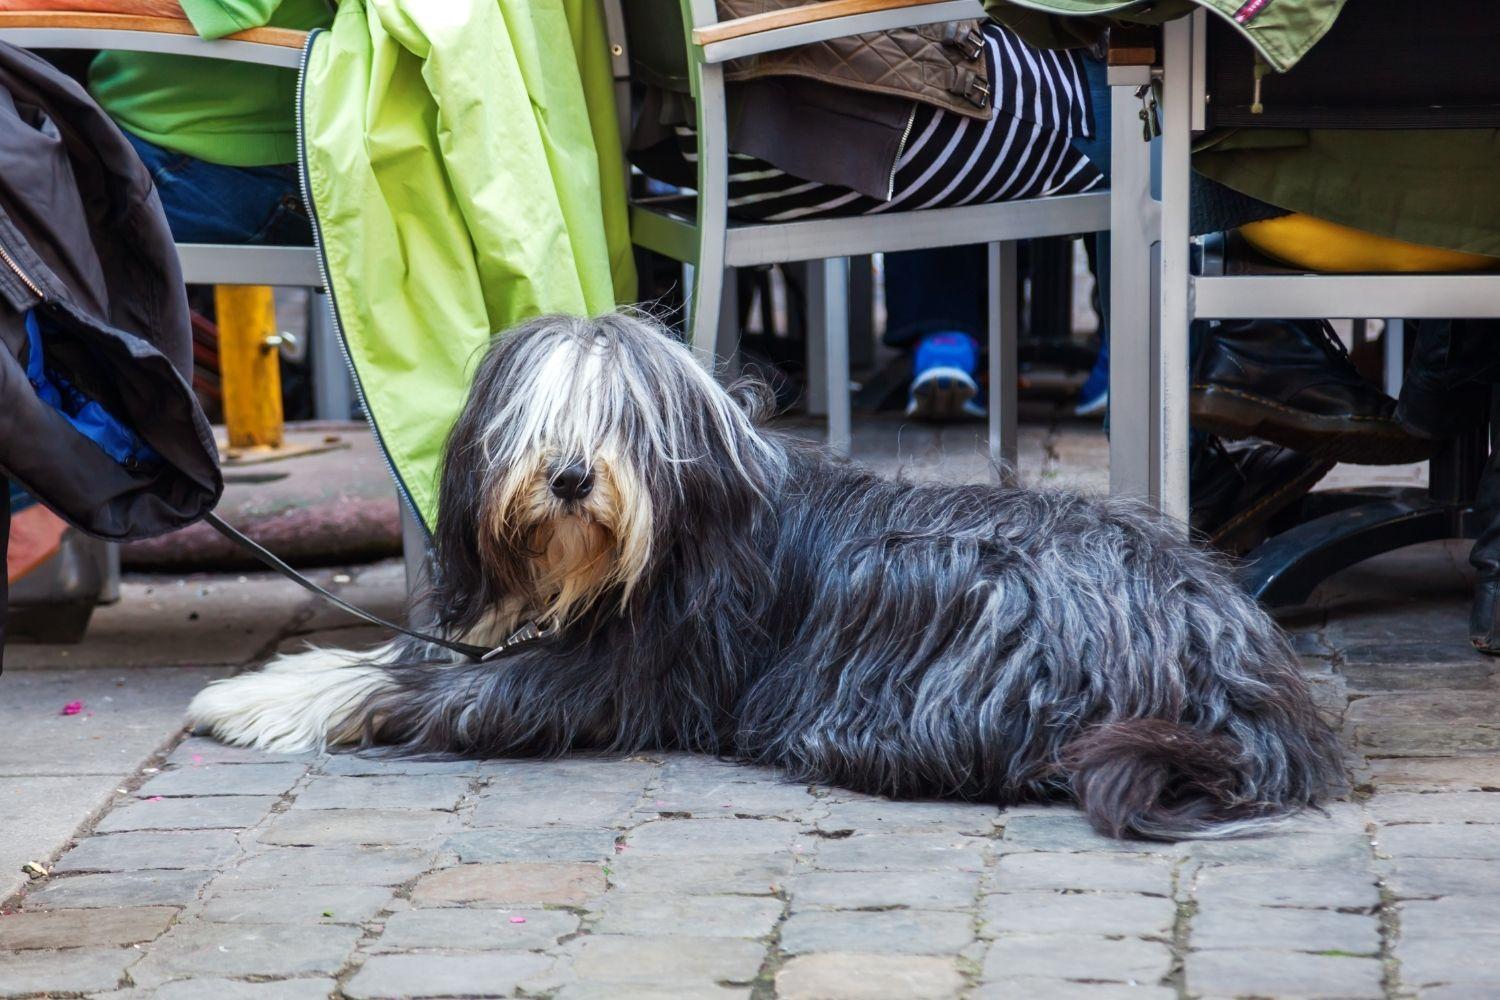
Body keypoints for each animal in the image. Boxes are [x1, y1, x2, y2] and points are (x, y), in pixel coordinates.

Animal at [190, 310, 1350, 839]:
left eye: (621, 420)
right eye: (537, 417)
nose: (569, 478)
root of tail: (1235, 663)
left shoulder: (617, 677)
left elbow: (413, 688)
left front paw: (251, 702)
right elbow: (398, 655)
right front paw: (263, 683)